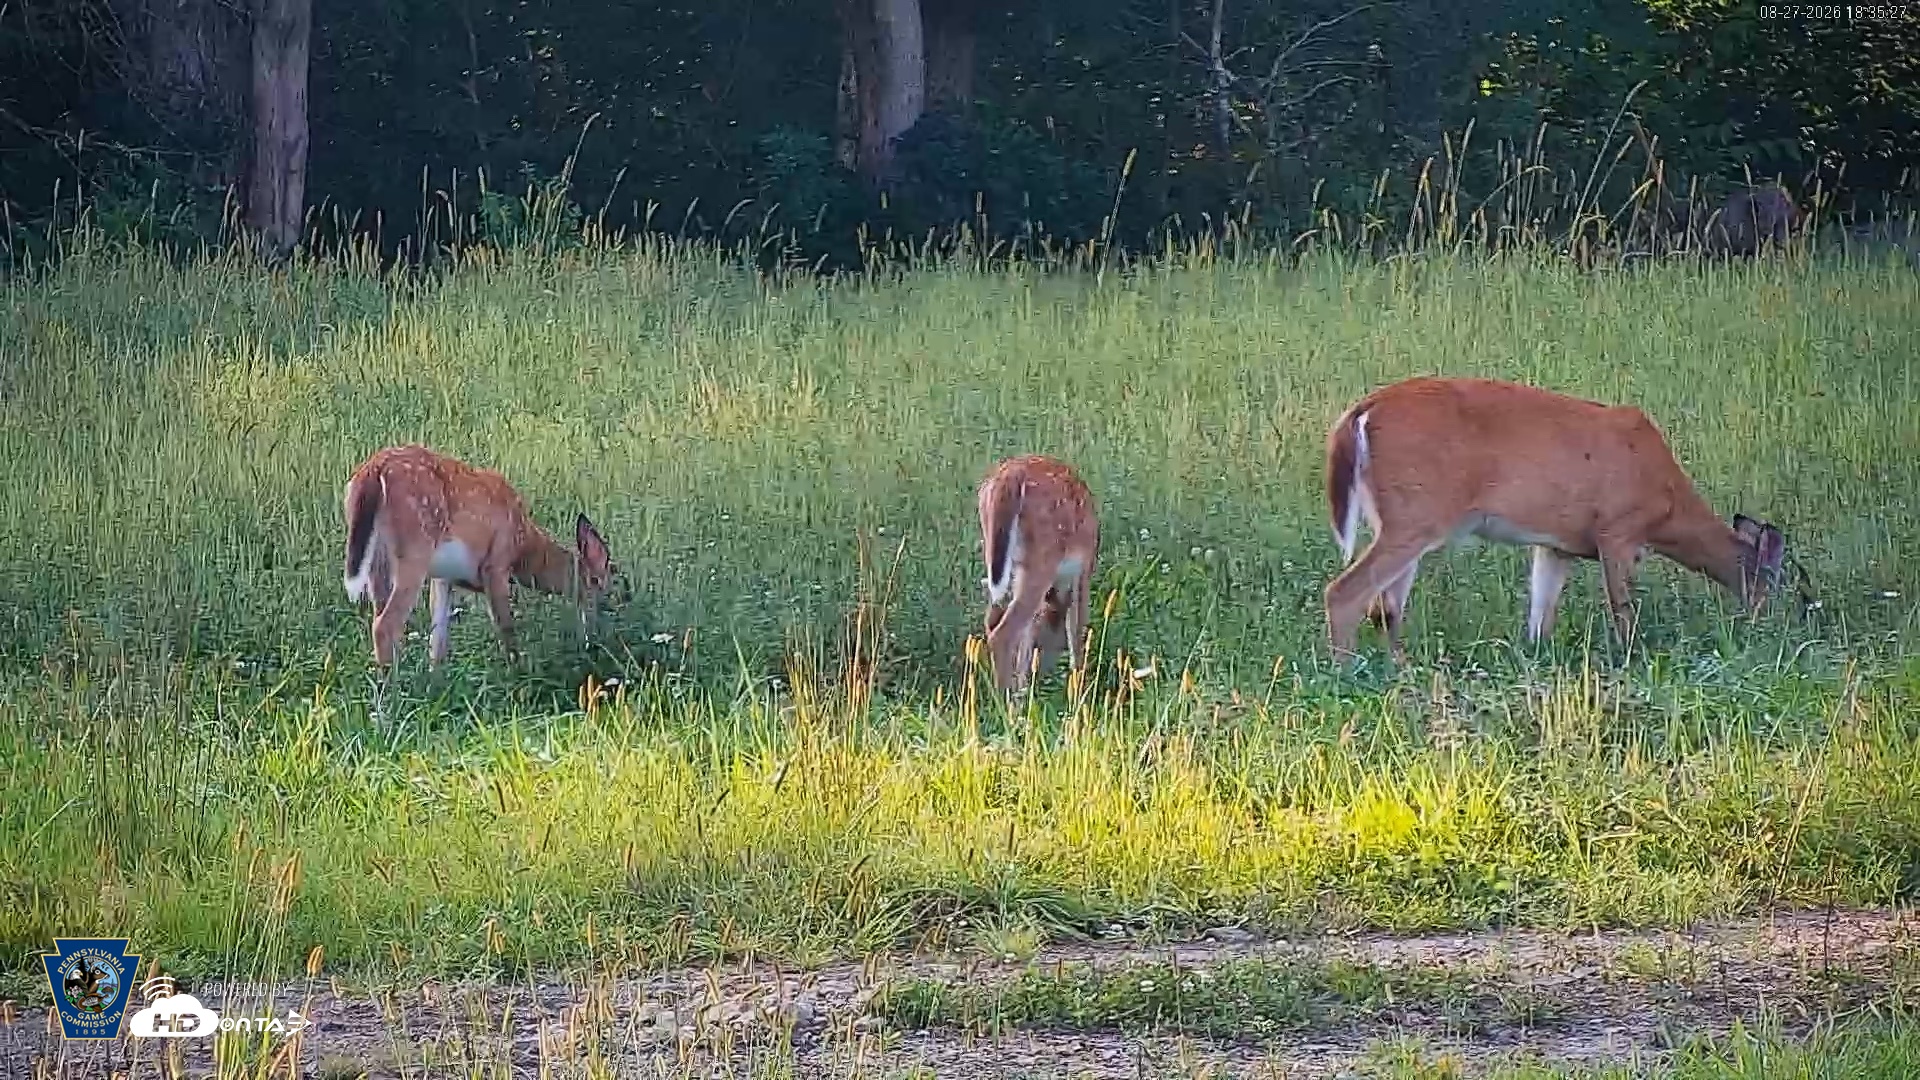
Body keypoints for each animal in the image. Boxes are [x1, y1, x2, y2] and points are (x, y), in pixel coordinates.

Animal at [342, 444, 626, 668]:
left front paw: (437, 682)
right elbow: (506, 628)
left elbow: (438, 641)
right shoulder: (496, 564)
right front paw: (518, 675)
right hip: (414, 550)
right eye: (605, 587)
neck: (524, 547)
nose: (598, 641)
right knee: (385, 626)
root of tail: (372, 470)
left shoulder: (443, 578)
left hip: (377, 561)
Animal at [977, 455, 1100, 693]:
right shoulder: (1083, 572)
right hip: (1042, 560)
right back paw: (1002, 699)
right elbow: (1076, 631)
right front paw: (1080, 692)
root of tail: (1010, 476)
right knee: (1003, 632)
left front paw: (1023, 690)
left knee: (994, 617)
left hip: (999, 555)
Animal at [1322, 376, 1790, 662]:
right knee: (1345, 592)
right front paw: (1629, 659)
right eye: (1787, 583)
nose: (1775, 628)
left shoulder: (1555, 546)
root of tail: (1360, 412)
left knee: (1385, 608)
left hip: (1401, 520)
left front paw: (1535, 660)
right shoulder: (1617, 531)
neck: (1668, 504)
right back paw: (1347, 672)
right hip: (1414, 516)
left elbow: (1540, 617)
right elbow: (1623, 610)